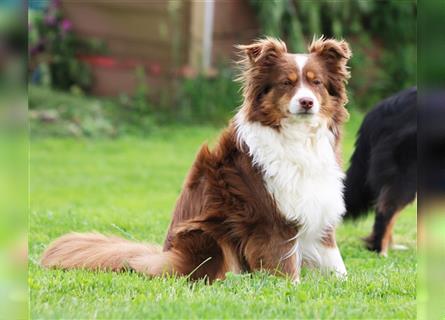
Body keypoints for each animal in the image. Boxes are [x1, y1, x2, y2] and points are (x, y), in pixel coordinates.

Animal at [42, 37, 354, 282]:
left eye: (316, 83)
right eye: (286, 84)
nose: (306, 102)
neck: (299, 138)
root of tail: (161, 256)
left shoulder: (319, 207)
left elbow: (334, 260)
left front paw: (344, 283)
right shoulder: (270, 217)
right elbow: (284, 264)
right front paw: (291, 286)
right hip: (208, 231)